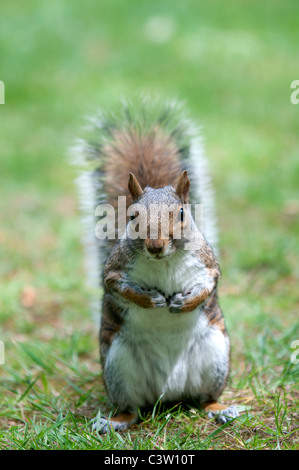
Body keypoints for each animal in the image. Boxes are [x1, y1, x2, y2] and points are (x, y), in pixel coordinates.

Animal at [74, 97, 240, 432]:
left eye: (182, 214)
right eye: (132, 216)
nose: (155, 245)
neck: (165, 261)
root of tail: (169, 392)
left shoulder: (208, 265)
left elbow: (209, 285)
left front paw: (184, 303)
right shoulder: (115, 270)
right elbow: (117, 285)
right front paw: (150, 300)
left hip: (216, 357)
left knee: (206, 399)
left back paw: (221, 409)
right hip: (118, 367)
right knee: (131, 409)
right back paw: (113, 422)